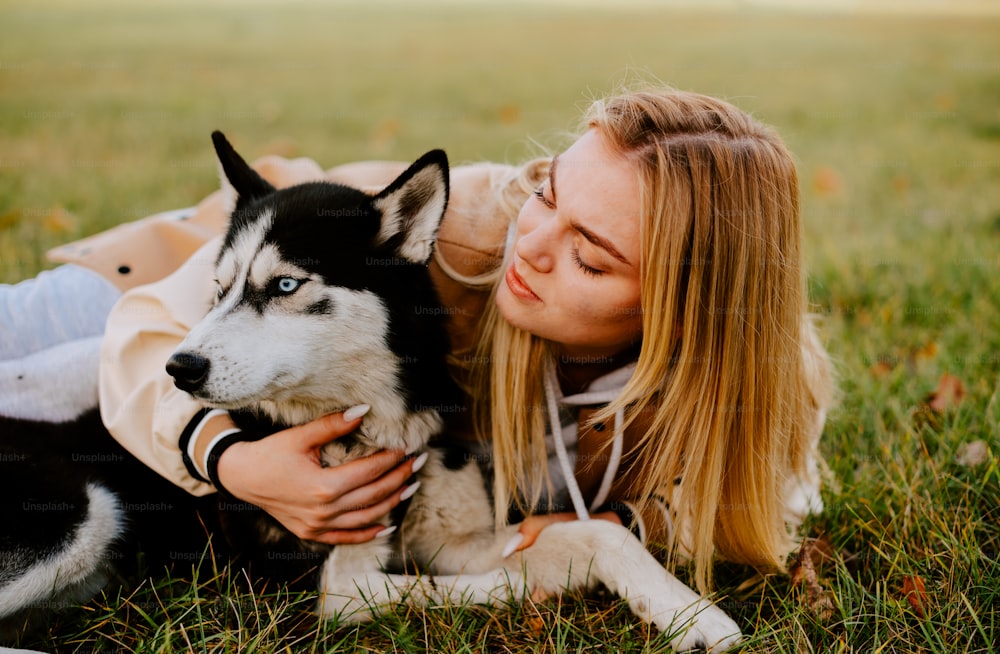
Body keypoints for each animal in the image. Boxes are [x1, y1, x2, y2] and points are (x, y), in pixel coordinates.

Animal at [0, 132, 740, 652]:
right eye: (219, 289)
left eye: (285, 285)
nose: (178, 369)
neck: (372, 426)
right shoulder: (344, 588)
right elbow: (492, 580)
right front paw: (553, 586)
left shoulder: (451, 535)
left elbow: (597, 536)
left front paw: (689, 612)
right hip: (81, 512)